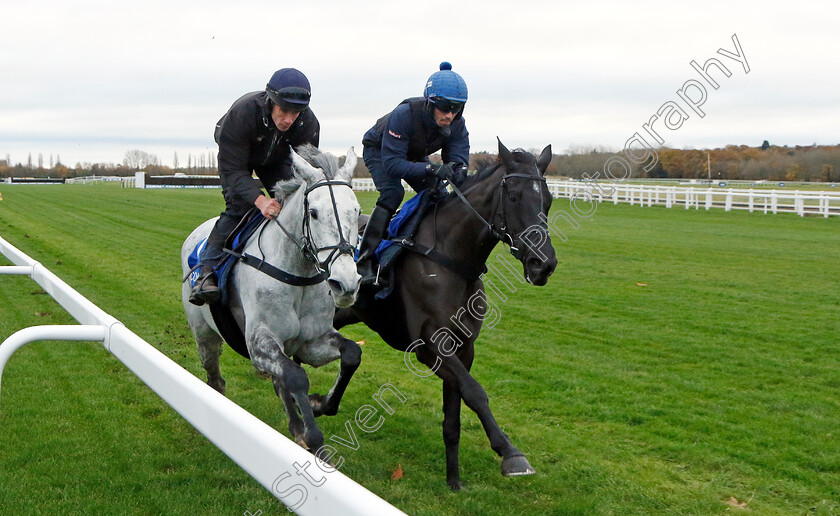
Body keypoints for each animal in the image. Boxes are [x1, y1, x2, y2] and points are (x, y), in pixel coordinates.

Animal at [182, 144, 362, 452]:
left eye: (357, 210)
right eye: (314, 212)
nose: (346, 283)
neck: (297, 275)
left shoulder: (311, 341)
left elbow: (351, 355)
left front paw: (318, 405)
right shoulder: (257, 342)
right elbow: (296, 376)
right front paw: (313, 437)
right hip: (204, 334)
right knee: (215, 376)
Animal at [334, 139, 556, 490]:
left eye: (547, 200)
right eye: (514, 197)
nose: (543, 264)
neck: (450, 257)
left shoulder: (463, 348)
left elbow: (455, 414)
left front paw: (454, 481)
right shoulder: (431, 346)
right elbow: (475, 392)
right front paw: (511, 454)